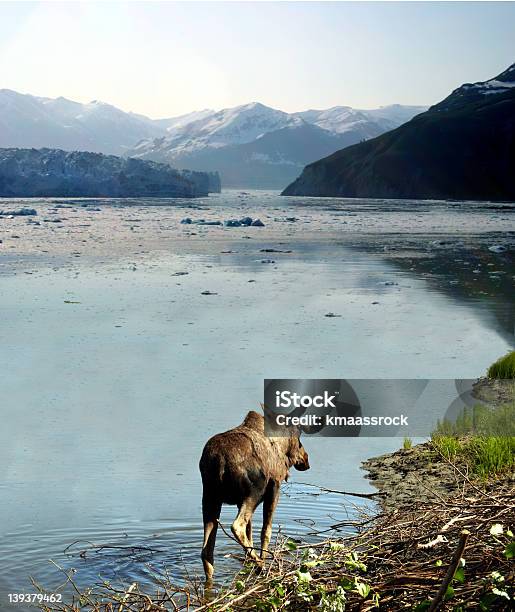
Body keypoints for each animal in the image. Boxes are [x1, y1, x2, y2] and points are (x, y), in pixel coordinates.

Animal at [200, 408, 308, 580]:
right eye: (299, 437)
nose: (306, 459)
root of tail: (220, 461)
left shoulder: (239, 501)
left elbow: (250, 531)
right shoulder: (275, 486)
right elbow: (266, 530)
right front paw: (264, 558)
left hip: (210, 496)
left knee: (206, 551)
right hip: (254, 492)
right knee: (237, 526)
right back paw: (260, 564)